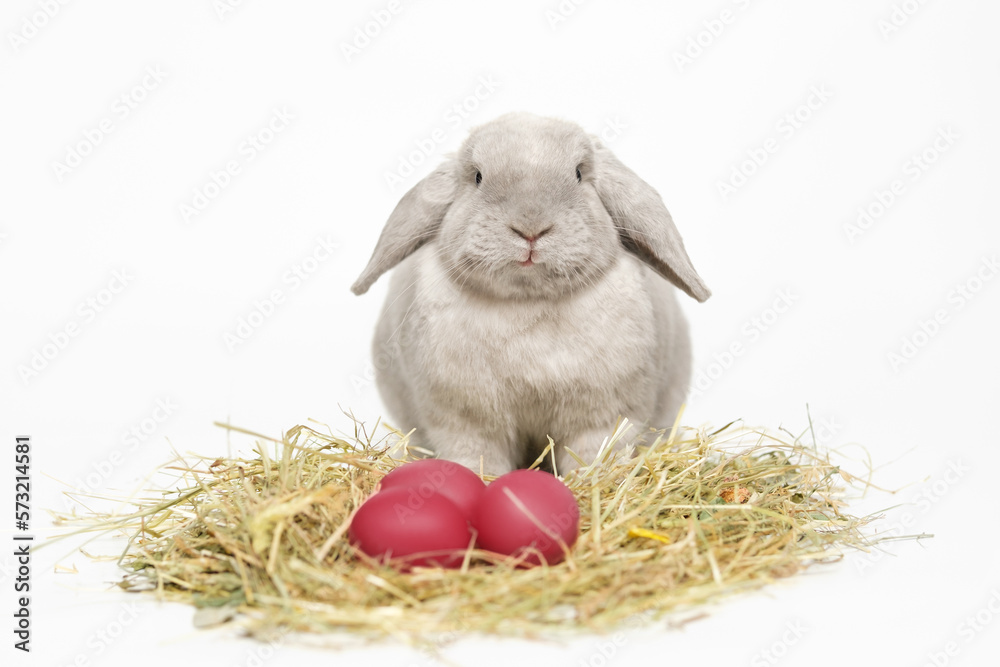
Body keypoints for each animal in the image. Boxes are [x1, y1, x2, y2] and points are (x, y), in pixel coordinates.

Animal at [352, 112, 710, 477]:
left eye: (579, 173)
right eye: (477, 177)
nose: (530, 228)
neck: (528, 302)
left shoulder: (604, 418)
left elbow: (592, 455)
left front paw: (592, 481)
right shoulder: (466, 423)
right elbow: (478, 458)